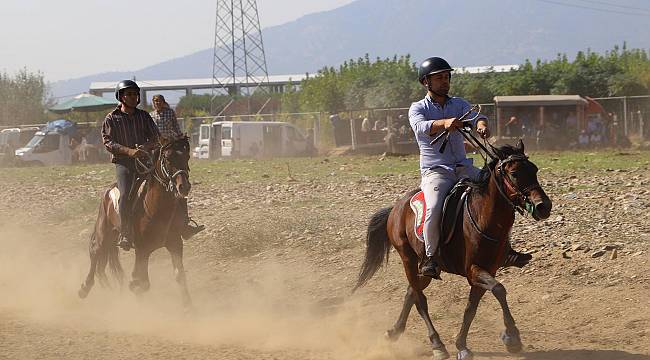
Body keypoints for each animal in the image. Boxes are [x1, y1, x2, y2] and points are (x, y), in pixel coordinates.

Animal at [76, 136, 192, 310]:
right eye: (167, 158)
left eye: (187, 156)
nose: (183, 186)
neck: (156, 208)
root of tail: (109, 190)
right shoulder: (142, 249)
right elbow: (141, 282)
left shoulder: (175, 244)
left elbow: (179, 275)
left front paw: (189, 307)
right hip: (104, 232)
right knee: (95, 251)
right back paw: (84, 288)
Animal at [352, 140, 548, 360]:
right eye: (514, 173)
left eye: (534, 169)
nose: (544, 206)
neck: (483, 218)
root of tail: (396, 207)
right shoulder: (473, 270)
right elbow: (499, 290)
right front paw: (512, 337)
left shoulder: (487, 271)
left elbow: (471, 308)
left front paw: (462, 344)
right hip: (408, 259)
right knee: (420, 300)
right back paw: (437, 344)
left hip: (424, 268)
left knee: (411, 293)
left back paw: (394, 332)